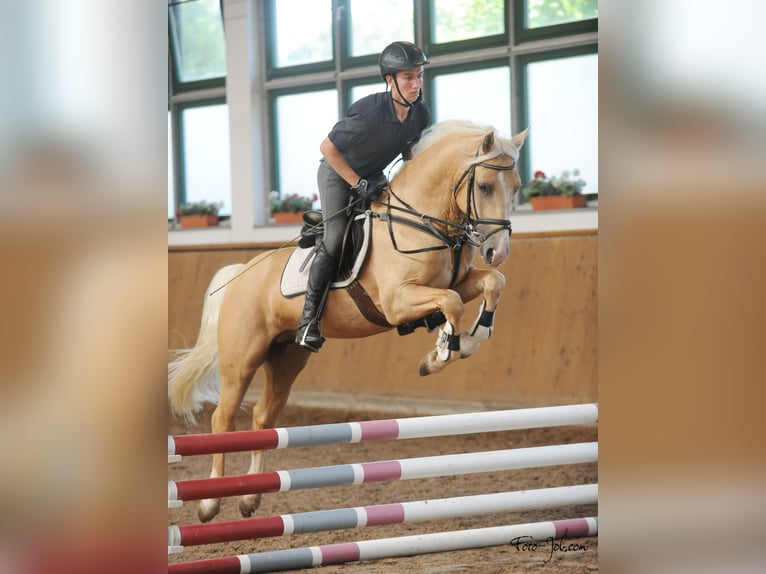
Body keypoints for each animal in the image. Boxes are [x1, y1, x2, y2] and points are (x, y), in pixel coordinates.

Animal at [170, 120, 528, 520]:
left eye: (516, 187)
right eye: (484, 186)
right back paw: (209, 502)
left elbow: (493, 283)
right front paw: (440, 354)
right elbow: (451, 305)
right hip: (241, 359)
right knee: (223, 419)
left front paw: (468, 340)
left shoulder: (458, 283)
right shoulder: (398, 301)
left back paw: (250, 497)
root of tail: (241, 273)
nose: (498, 251)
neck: (421, 221)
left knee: (263, 417)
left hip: (287, 357)